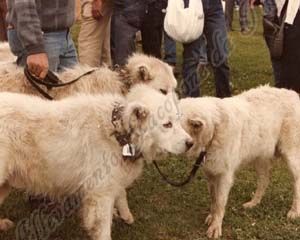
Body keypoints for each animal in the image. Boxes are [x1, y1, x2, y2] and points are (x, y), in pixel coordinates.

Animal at [0, 84, 192, 238]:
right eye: (167, 125)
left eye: (178, 121)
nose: (190, 143)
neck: (119, 132)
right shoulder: (101, 194)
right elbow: (104, 230)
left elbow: (121, 193)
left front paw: (124, 213)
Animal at [179, 86, 300, 238]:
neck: (214, 131)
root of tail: (293, 93)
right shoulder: (210, 173)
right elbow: (214, 199)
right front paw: (212, 218)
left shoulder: (225, 176)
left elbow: (220, 203)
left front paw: (215, 227)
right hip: (260, 157)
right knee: (264, 180)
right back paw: (253, 203)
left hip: (291, 155)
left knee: (296, 182)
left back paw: (294, 211)